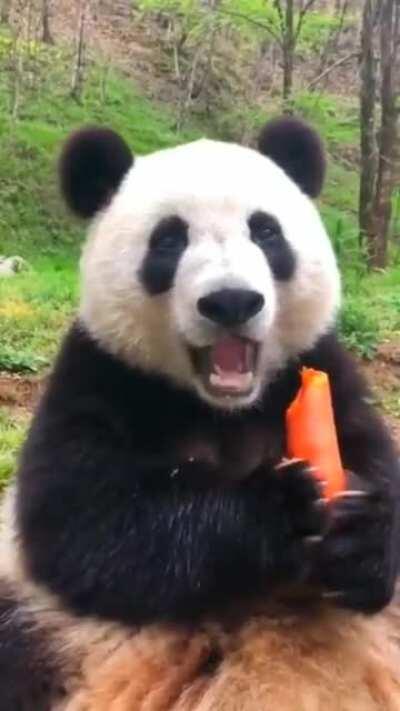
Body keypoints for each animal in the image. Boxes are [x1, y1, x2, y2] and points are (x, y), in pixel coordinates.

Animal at [1, 117, 400, 711]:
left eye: (266, 232)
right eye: (168, 240)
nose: (231, 301)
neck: (223, 410)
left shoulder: (323, 369)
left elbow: (376, 460)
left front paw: (360, 534)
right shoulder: (99, 376)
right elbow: (85, 525)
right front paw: (276, 506)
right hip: (47, 631)